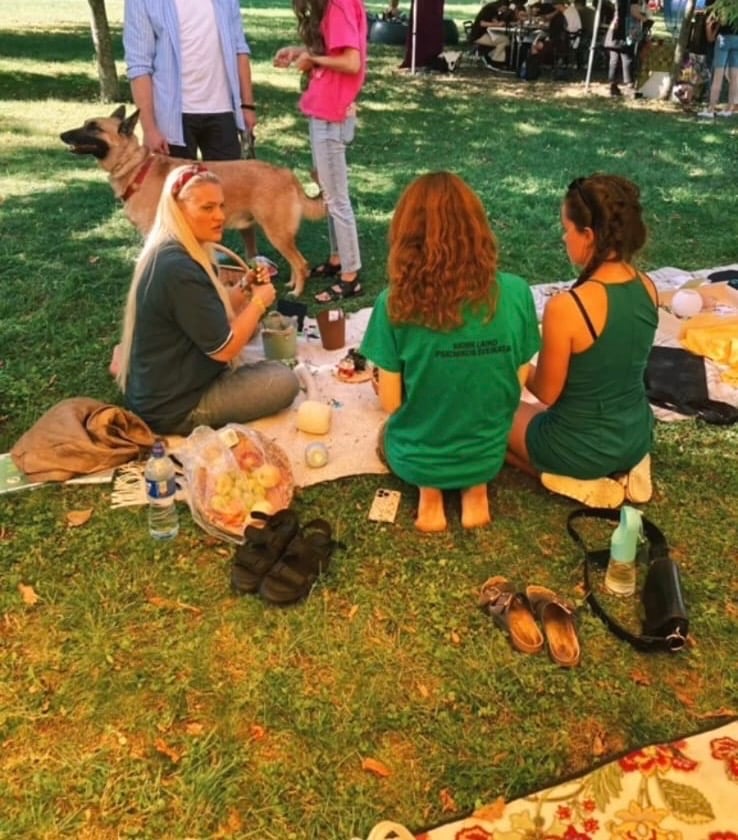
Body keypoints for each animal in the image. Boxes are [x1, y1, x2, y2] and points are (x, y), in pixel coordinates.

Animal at [60, 106, 325, 296]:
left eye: (94, 127)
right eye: (86, 124)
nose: (62, 135)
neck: (136, 167)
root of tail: (286, 173)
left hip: (276, 233)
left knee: (301, 263)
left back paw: (297, 292)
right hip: (280, 235)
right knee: (296, 263)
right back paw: (291, 284)